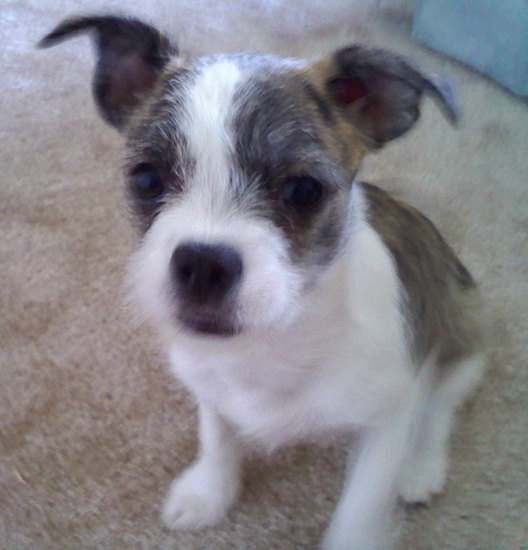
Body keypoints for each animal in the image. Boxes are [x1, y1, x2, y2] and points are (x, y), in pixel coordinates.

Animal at [40, 16, 486, 550]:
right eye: (146, 180)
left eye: (304, 190)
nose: (202, 264)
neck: (274, 340)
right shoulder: (209, 387)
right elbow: (216, 438)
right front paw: (209, 493)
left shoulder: (386, 421)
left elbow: (359, 509)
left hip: (460, 344)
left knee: (437, 409)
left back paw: (420, 468)